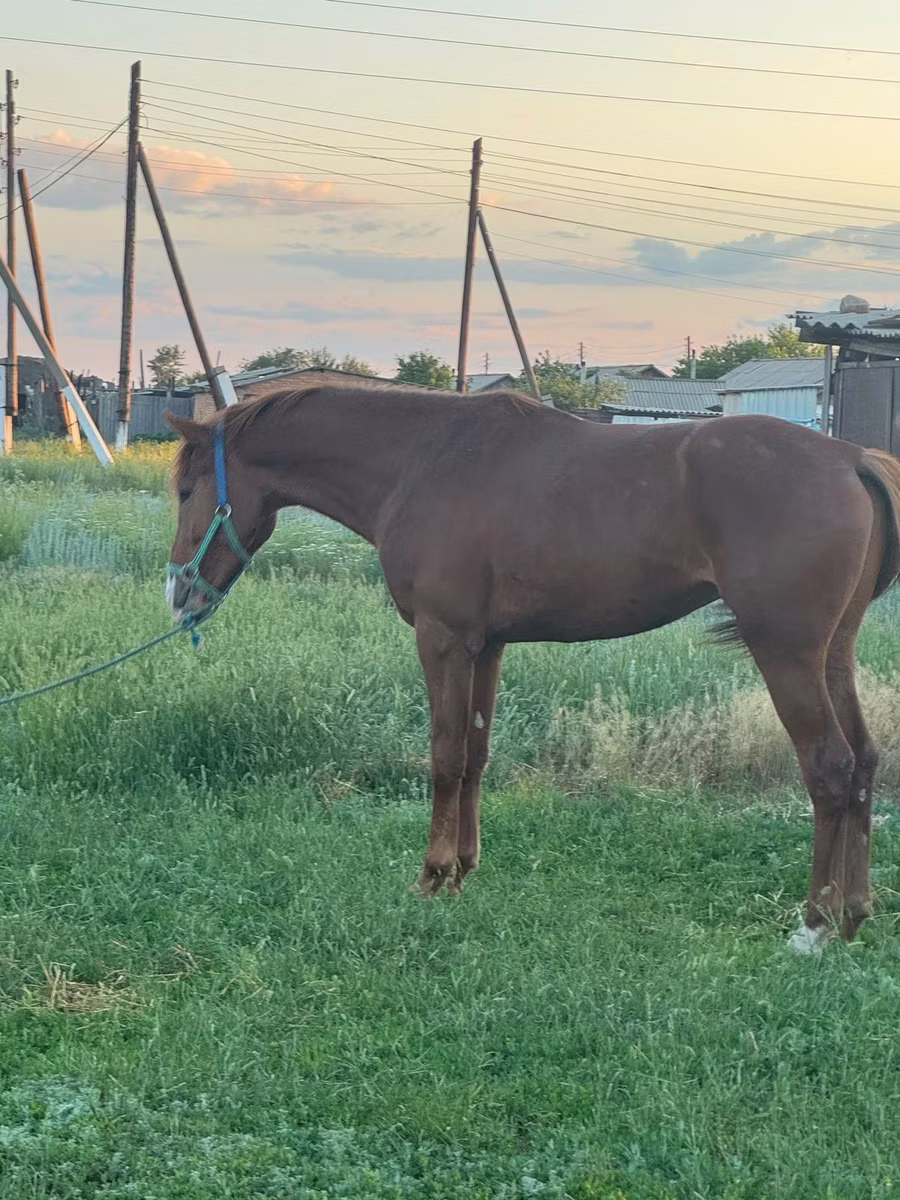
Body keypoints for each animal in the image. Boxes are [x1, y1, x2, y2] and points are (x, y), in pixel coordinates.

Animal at [165, 386, 900, 953]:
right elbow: (476, 755)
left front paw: (431, 877)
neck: (421, 461)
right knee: (864, 763)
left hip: (787, 654)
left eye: (185, 489)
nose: (179, 594)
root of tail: (851, 458)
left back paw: (814, 924)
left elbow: (444, 756)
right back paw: (854, 913)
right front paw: (462, 871)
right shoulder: (486, 647)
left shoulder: (442, 640)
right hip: (833, 652)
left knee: (831, 768)